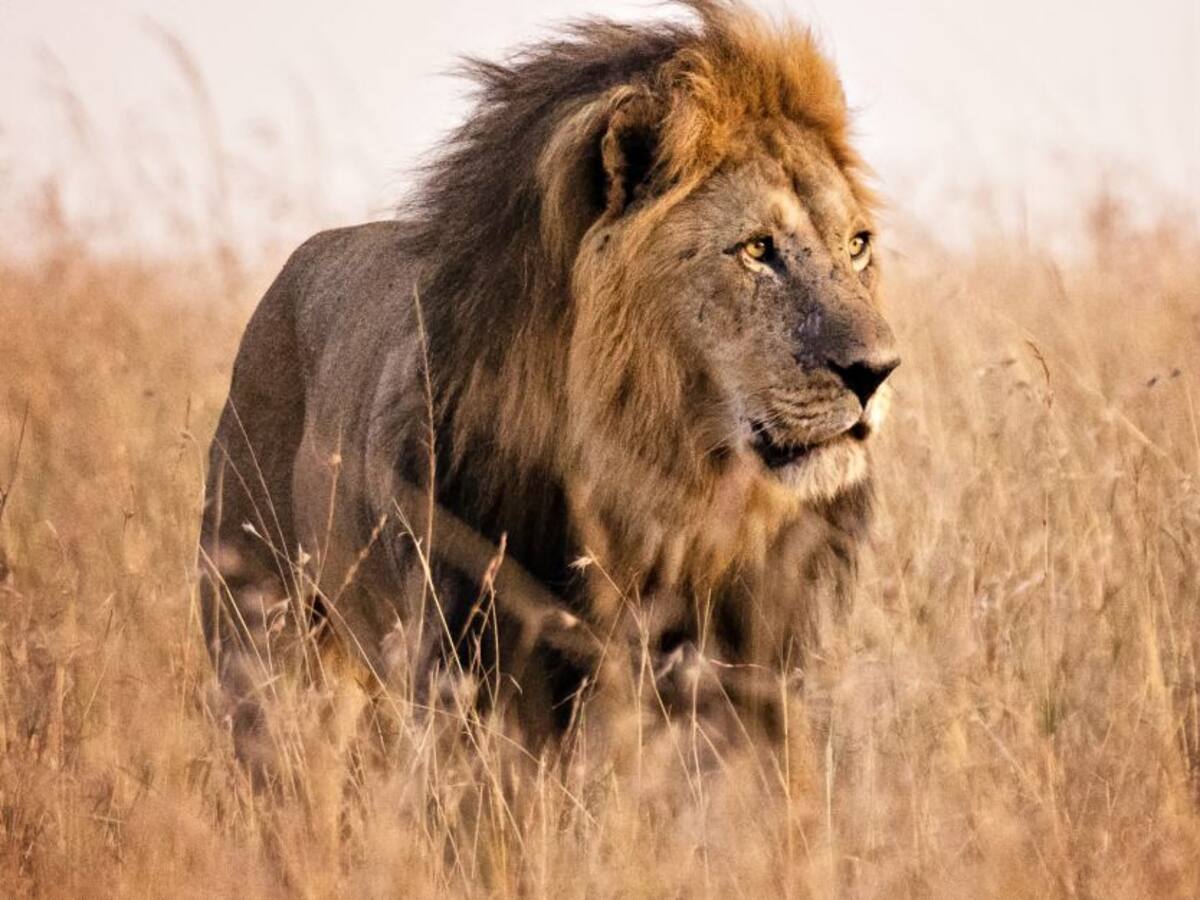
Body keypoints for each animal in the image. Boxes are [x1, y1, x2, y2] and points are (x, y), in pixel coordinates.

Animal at [199, 0, 898, 771]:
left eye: (857, 246)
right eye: (755, 250)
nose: (878, 371)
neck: (662, 486)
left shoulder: (750, 675)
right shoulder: (475, 671)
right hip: (261, 637)